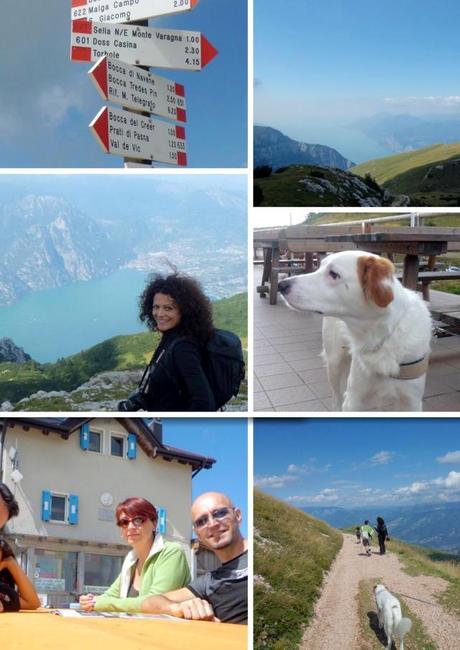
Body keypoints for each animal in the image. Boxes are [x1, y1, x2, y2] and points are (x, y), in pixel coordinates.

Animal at [278, 249, 434, 410]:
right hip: (334, 362)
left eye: (334, 274)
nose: (281, 284)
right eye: (319, 267)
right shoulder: (353, 398)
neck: (380, 336)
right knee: (335, 398)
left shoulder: (412, 402)